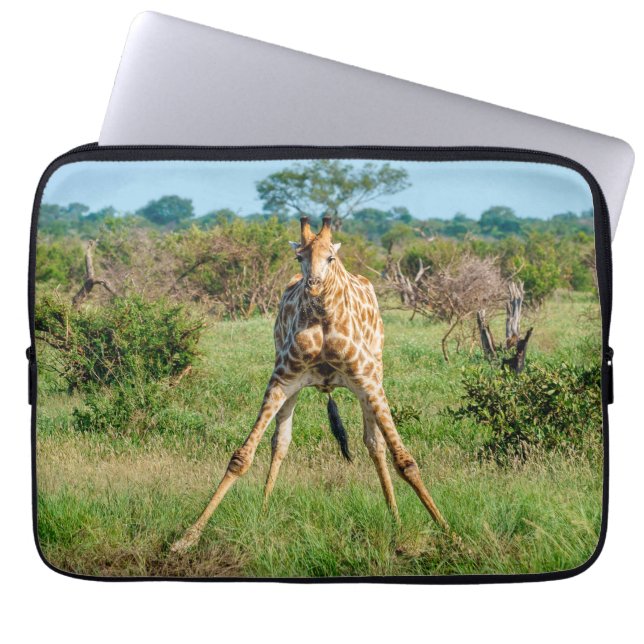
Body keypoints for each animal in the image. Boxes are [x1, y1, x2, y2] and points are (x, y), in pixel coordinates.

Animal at [171, 216, 447, 553]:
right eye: (298, 257)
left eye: (330, 258)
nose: (313, 285)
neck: (324, 319)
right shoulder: (281, 379)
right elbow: (242, 457)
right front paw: (187, 537)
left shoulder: (368, 380)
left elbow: (404, 459)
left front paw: (449, 532)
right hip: (292, 384)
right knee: (280, 442)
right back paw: (264, 510)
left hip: (373, 375)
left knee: (375, 444)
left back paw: (394, 515)